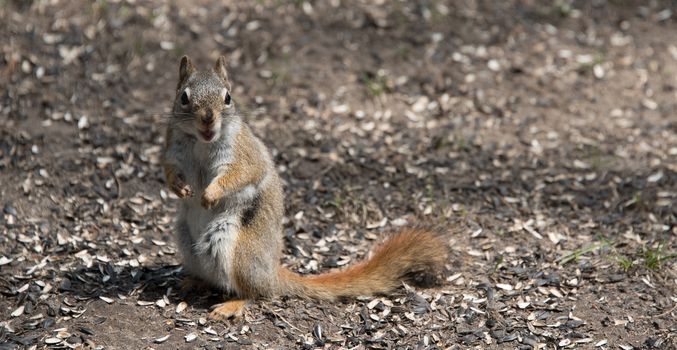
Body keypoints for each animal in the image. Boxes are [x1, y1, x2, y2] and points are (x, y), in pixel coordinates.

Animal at [161, 54, 448, 320]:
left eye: (228, 97)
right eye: (184, 97)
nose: (208, 119)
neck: (202, 142)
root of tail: (272, 273)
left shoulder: (244, 154)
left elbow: (240, 174)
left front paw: (210, 194)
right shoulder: (172, 150)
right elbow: (169, 170)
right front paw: (180, 189)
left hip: (237, 252)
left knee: (256, 293)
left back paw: (232, 305)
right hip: (186, 240)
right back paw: (193, 281)